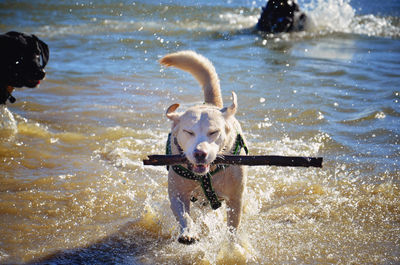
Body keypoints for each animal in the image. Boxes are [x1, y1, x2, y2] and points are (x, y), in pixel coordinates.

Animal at [159, 50, 247, 244]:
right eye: (188, 132)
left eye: (213, 132)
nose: (200, 153)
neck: (206, 176)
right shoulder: (177, 193)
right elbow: (184, 215)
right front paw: (188, 232)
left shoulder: (235, 199)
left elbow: (233, 227)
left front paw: (231, 245)